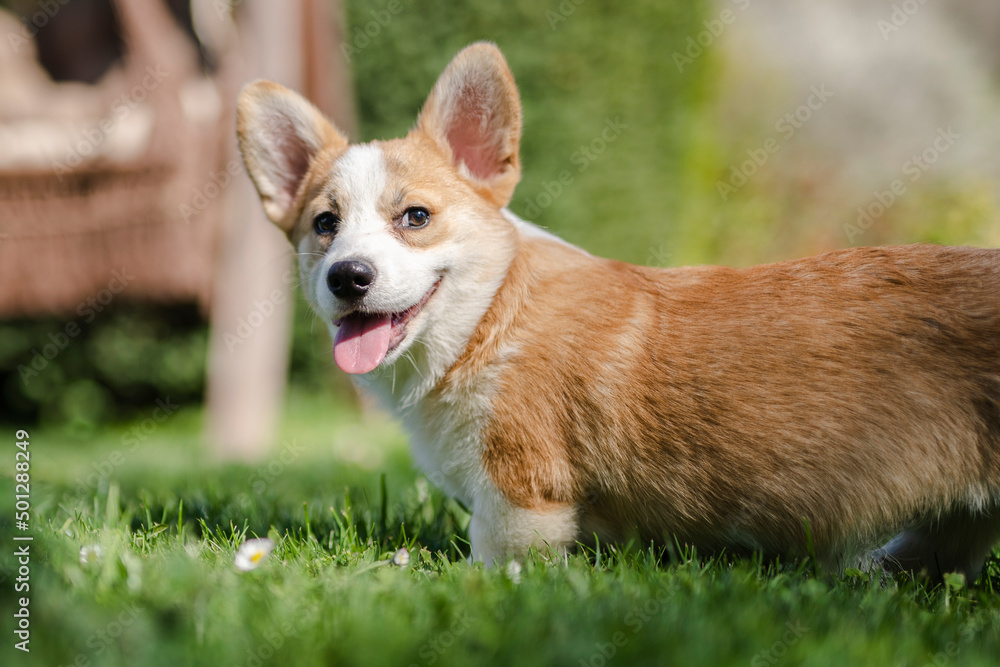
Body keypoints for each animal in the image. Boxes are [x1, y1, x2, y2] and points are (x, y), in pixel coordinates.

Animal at [236, 44, 1000, 580]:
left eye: (415, 217)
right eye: (325, 225)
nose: (348, 277)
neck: (485, 318)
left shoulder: (520, 496)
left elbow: (494, 561)